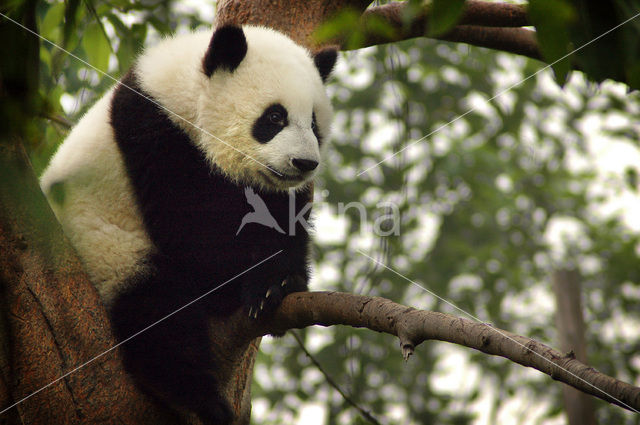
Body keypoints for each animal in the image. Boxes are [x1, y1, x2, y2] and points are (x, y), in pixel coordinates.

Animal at [40, 24, 338, 424]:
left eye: (314, 123)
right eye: (275, 118)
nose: (304, 163)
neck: (183, 94)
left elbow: (276, 221)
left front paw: (279, 281)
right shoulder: (153, 135)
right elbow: (194, 233)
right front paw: (249, 285)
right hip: (108, 255)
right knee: (158, 315)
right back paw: (200, 399)